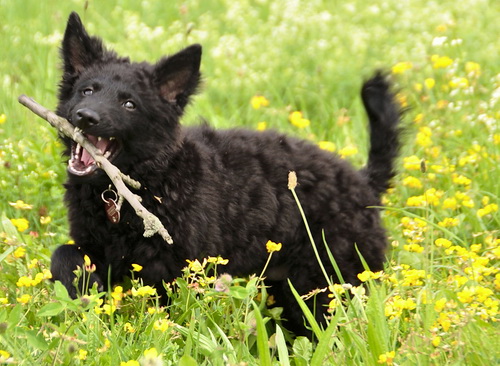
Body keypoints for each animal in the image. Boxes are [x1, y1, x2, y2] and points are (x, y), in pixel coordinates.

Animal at [50, 12, 402, 332]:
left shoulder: (179, 268)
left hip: (326, 282)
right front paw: (82, 290)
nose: (86, 116)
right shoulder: (97, 246)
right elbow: (64, 254)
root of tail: (364, 183)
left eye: (129, 104)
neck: (148, 181)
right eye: (87, 90)